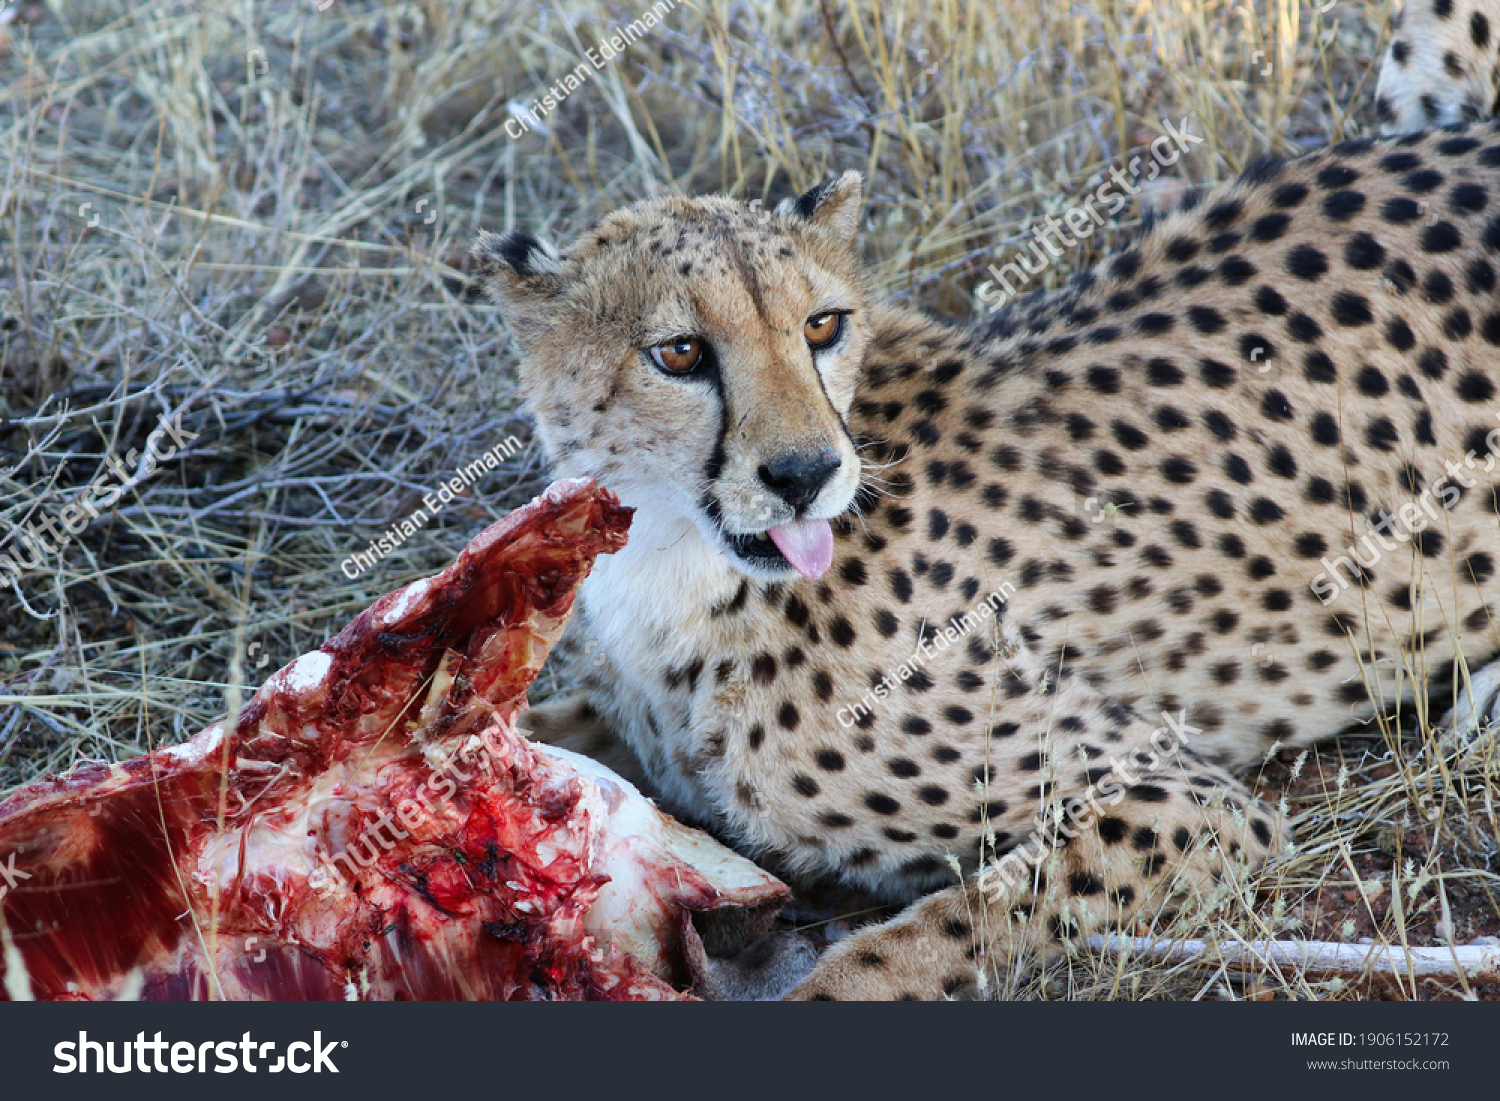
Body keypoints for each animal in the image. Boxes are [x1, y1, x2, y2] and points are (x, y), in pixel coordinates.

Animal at [477, 127, 1500, 1002]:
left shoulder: (1189, 799)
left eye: (822, 326)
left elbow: (929, 935)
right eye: (680, 352)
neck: (679, 554)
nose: (805, 474)